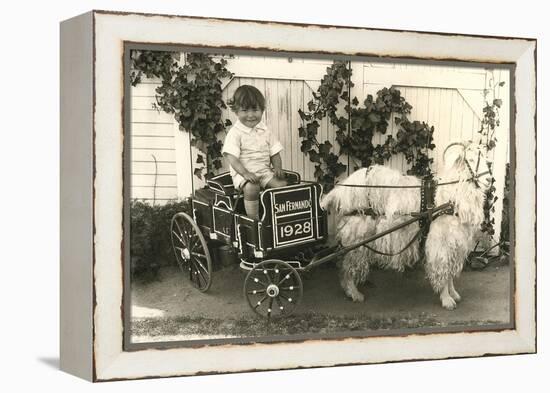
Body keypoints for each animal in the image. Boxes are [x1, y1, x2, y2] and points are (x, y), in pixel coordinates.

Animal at [322, 142, 494, 310]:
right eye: (470, 160)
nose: (489, 180)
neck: (449, 198)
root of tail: (342, 191)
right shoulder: (441, 244)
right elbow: (443, 271)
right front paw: (447, 300)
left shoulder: (455, 244)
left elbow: (450, 273)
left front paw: (453, 293)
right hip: (357, 237)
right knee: (347, 265)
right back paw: (354, 293)